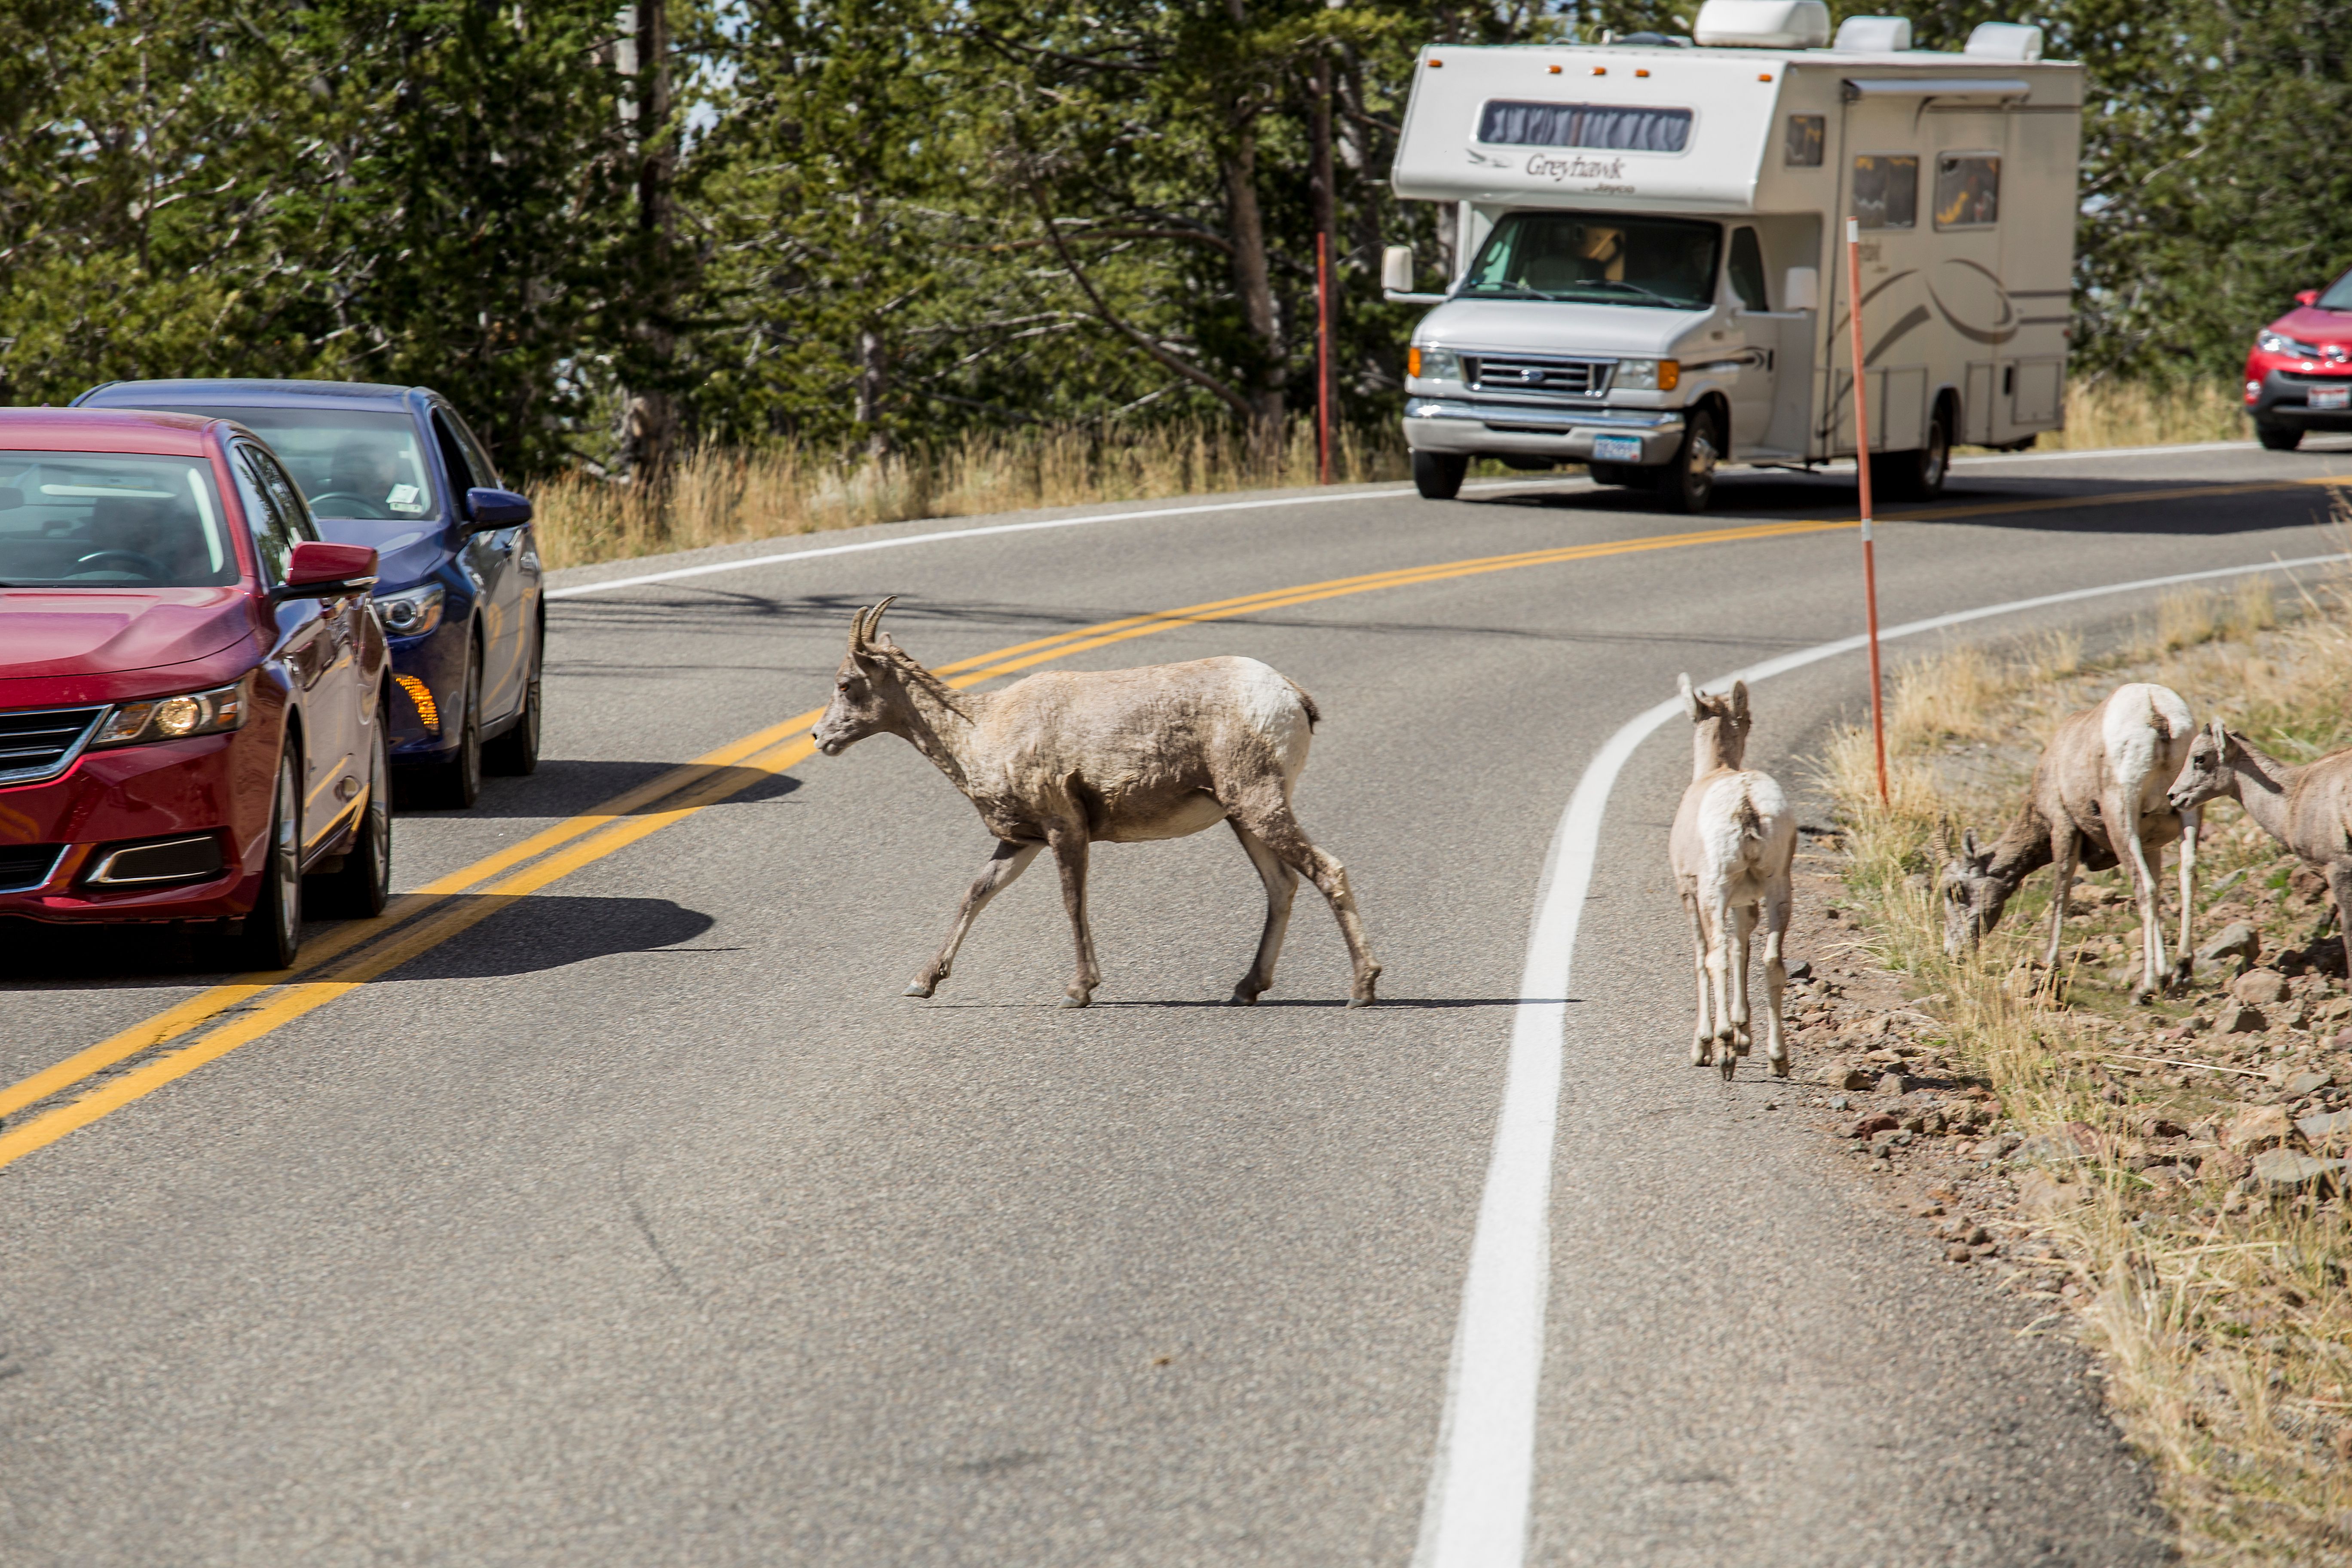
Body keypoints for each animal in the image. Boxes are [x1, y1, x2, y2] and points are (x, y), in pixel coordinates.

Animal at [809, 594, 1373, 1011]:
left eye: (847, 684)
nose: (819, 738)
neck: (979, 731)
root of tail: (1291, 697)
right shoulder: (1021, 842)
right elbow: (975, 894)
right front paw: (922, 983)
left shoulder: (1064, 828)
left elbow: (1072, 901)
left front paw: (1078, 991)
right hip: (1242, 816)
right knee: (1282, 886)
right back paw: (1245, 989)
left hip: (1258, 803)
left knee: (1327, 870)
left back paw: (1362, 989)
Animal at [1665, 677, 1787, 1081]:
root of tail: (1746, 805)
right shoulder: (1747, 901)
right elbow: (1742, 950)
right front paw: (1744, 1035)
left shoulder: (1690, 894)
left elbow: (1704, 956)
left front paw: (1706, 1046)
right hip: (1779, 887)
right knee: (1772, 960)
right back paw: (1778, 1059)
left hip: (1714, 891)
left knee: (1714, 957)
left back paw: (1722, 1051)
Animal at [1938, 682, 2192, 1001]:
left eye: (1955, 891)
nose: (1952, 952)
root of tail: (2156, 711)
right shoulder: (2151, 844)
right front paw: (2165, 973)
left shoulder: (2063, 828)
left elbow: (2061, 892)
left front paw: (2050, 963)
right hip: (2190, 804)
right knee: (2186, 876)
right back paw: (2181, 971)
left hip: (2121, 818)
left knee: (2143, 887)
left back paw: (2144, 988)